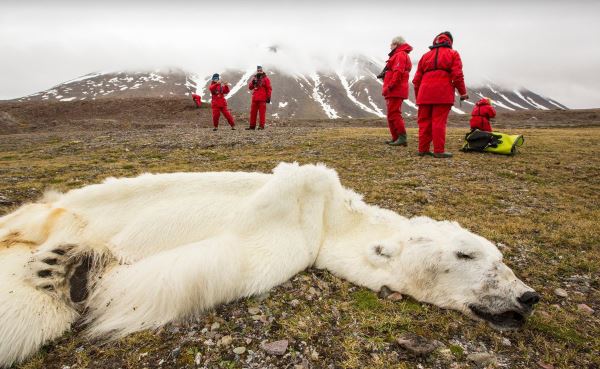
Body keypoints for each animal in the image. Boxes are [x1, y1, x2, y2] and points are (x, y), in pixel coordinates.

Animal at [0, 162, 540, 366]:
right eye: (467, 253)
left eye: (500, 257)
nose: (528, 296)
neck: (330, 217)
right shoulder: (298, 215)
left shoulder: (292, 242)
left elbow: (206, 265)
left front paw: (79, 273)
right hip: (53, 213)